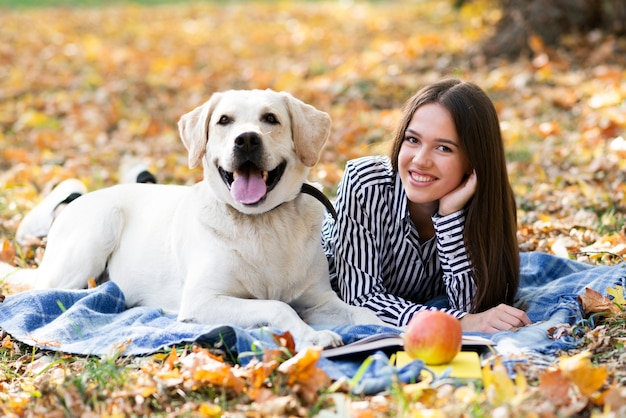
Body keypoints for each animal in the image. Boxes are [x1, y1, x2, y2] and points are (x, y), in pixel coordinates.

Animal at [2, 89, 382, 350]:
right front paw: (311, 337)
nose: (246, 140)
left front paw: (382, 327)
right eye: (224, 121)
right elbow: (277, 307)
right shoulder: (203, 300)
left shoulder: (319, 300)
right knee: (50, 290)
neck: (262, 221)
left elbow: (361, 313)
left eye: (271, 119)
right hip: (93, 236)